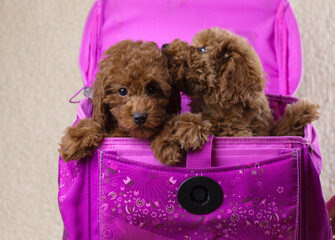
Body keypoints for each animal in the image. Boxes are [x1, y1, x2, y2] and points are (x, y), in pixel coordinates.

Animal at [58, 39, 186, 163]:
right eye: (122, 91)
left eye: (153, 89)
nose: (140, 117)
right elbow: (99, 123)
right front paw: (75, 140)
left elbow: (169, 122)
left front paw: (167, 144)